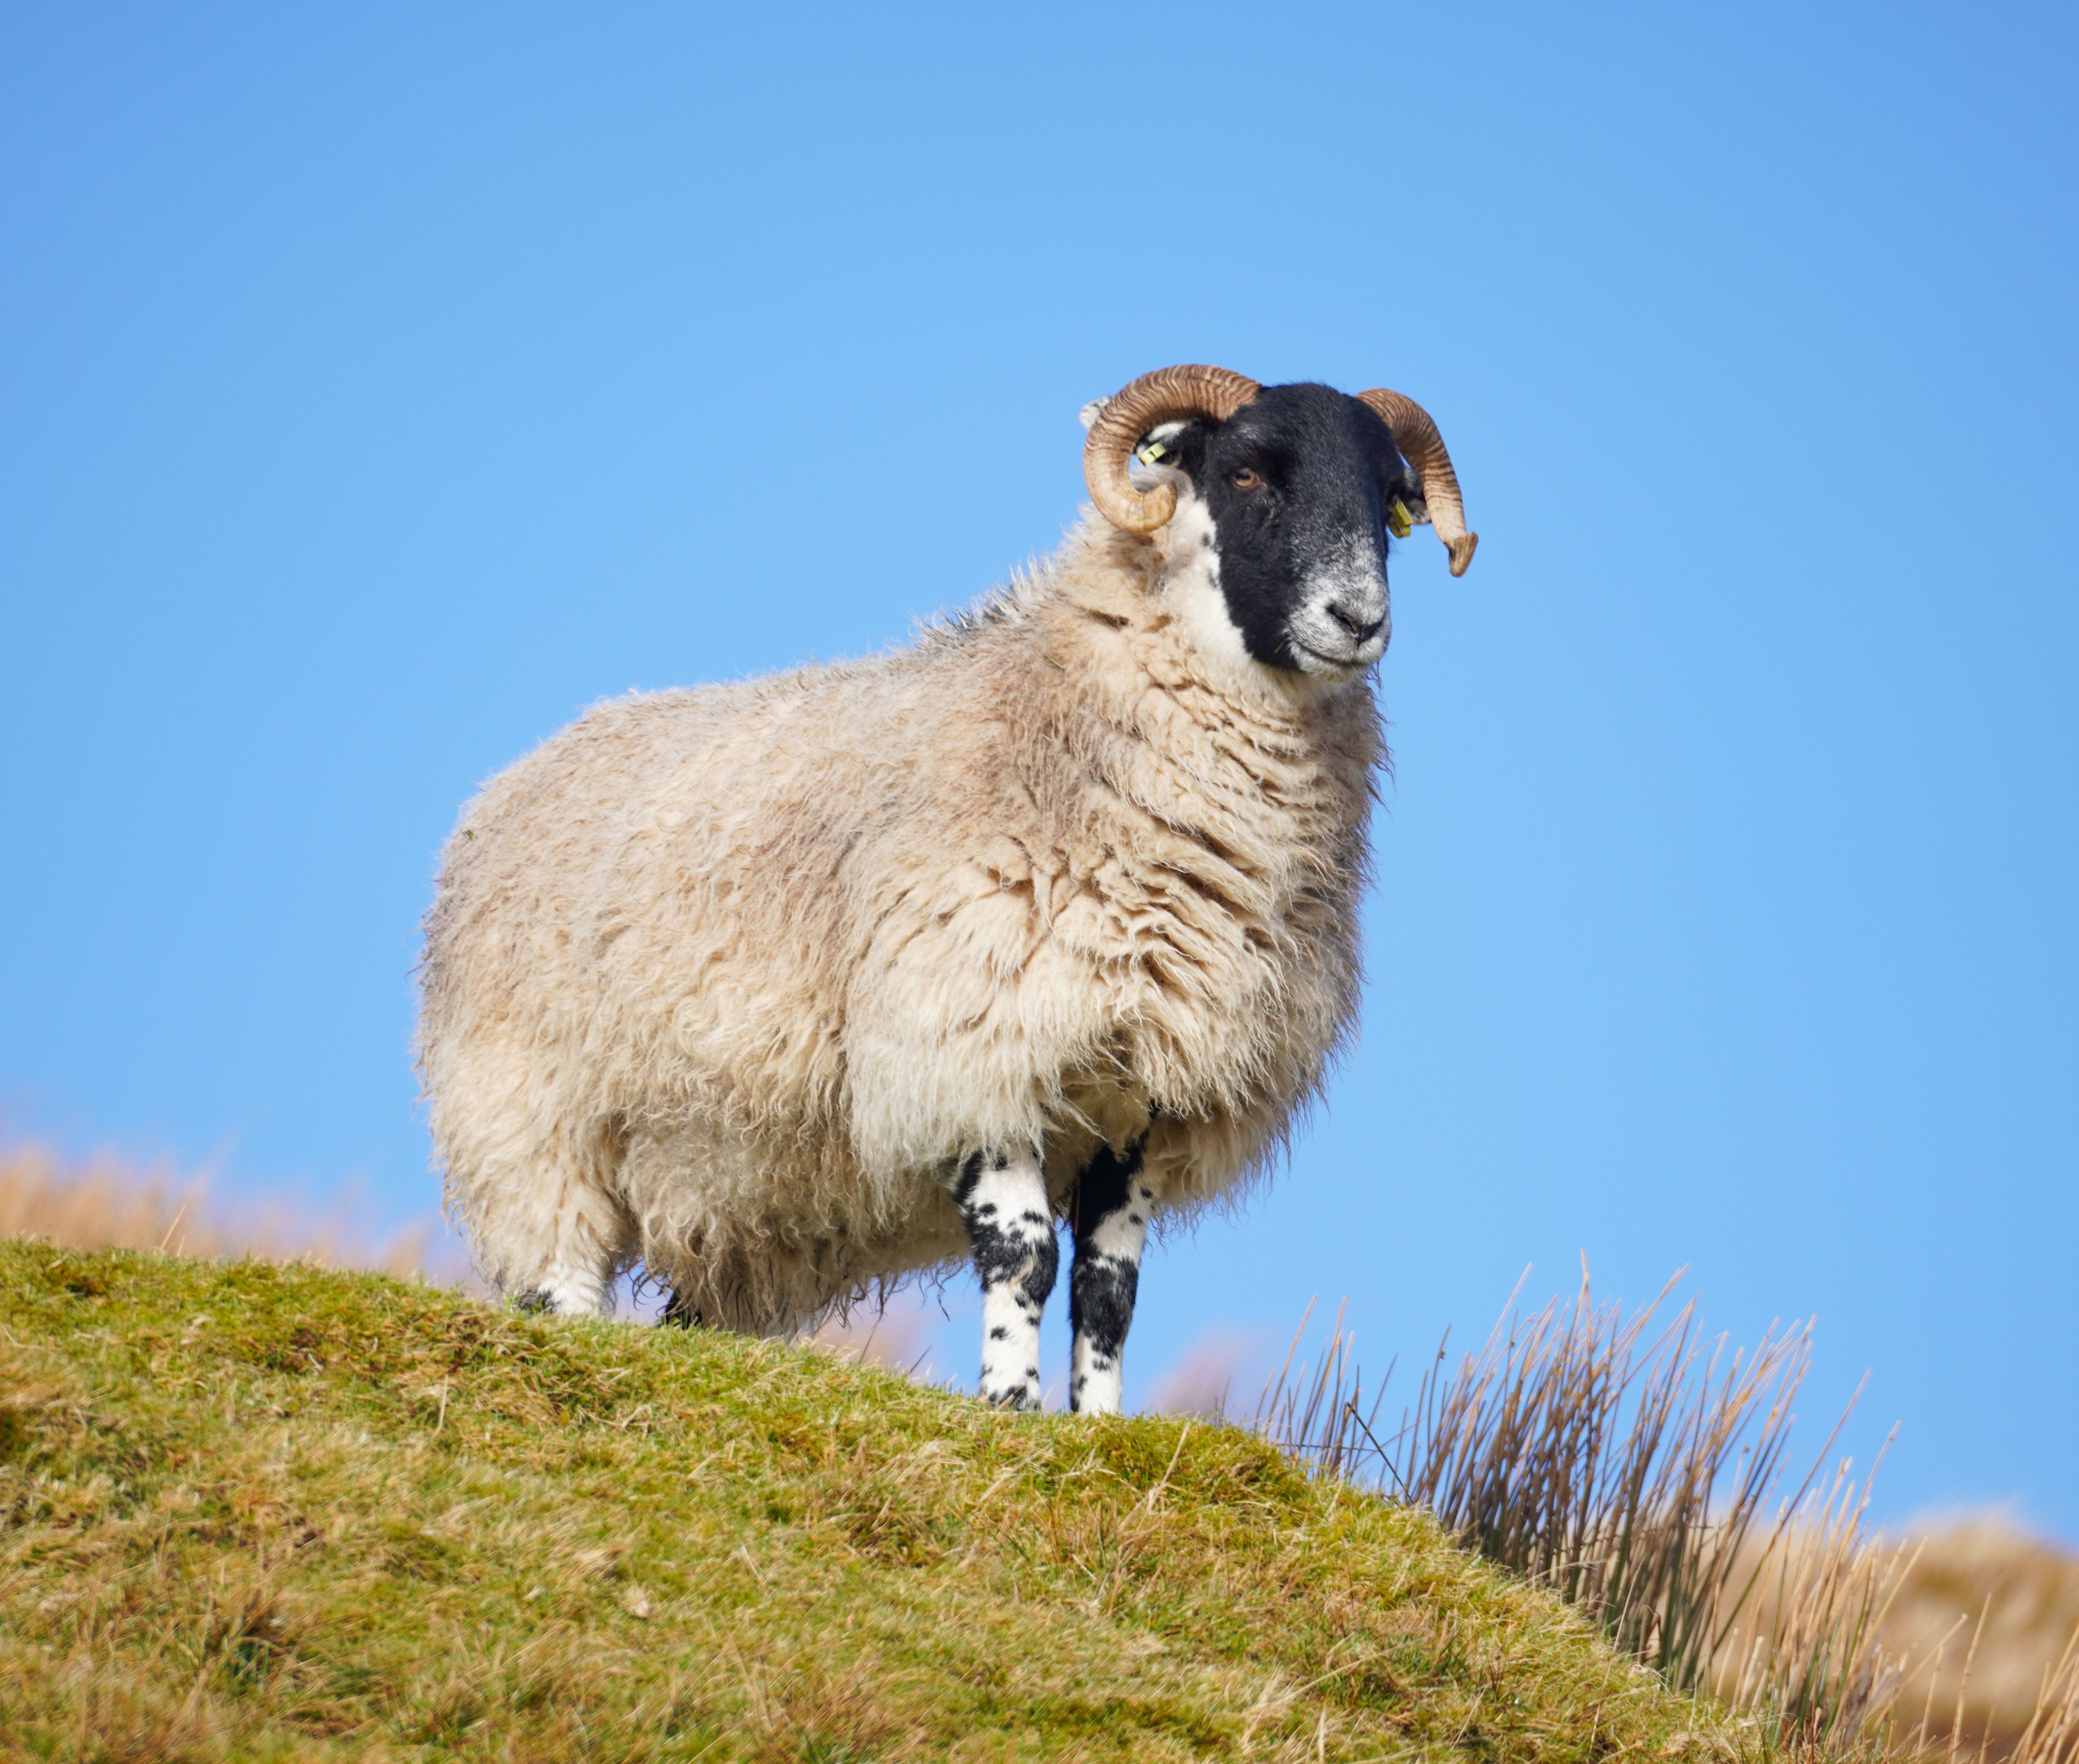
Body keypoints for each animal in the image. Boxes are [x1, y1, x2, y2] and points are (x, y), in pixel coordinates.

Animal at [417, 364, 1477, 1414]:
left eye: (1391, 504)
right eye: (1248, 474)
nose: (1358, 621)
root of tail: (515, 775)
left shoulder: (1145, 1088)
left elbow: (1108, 1289)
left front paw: (1097, 1426)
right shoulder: (970, 1040)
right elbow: (1024, 1258)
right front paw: (1009, 1405)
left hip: (738, 1204)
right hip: (535, 1127)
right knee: (559, 1276)